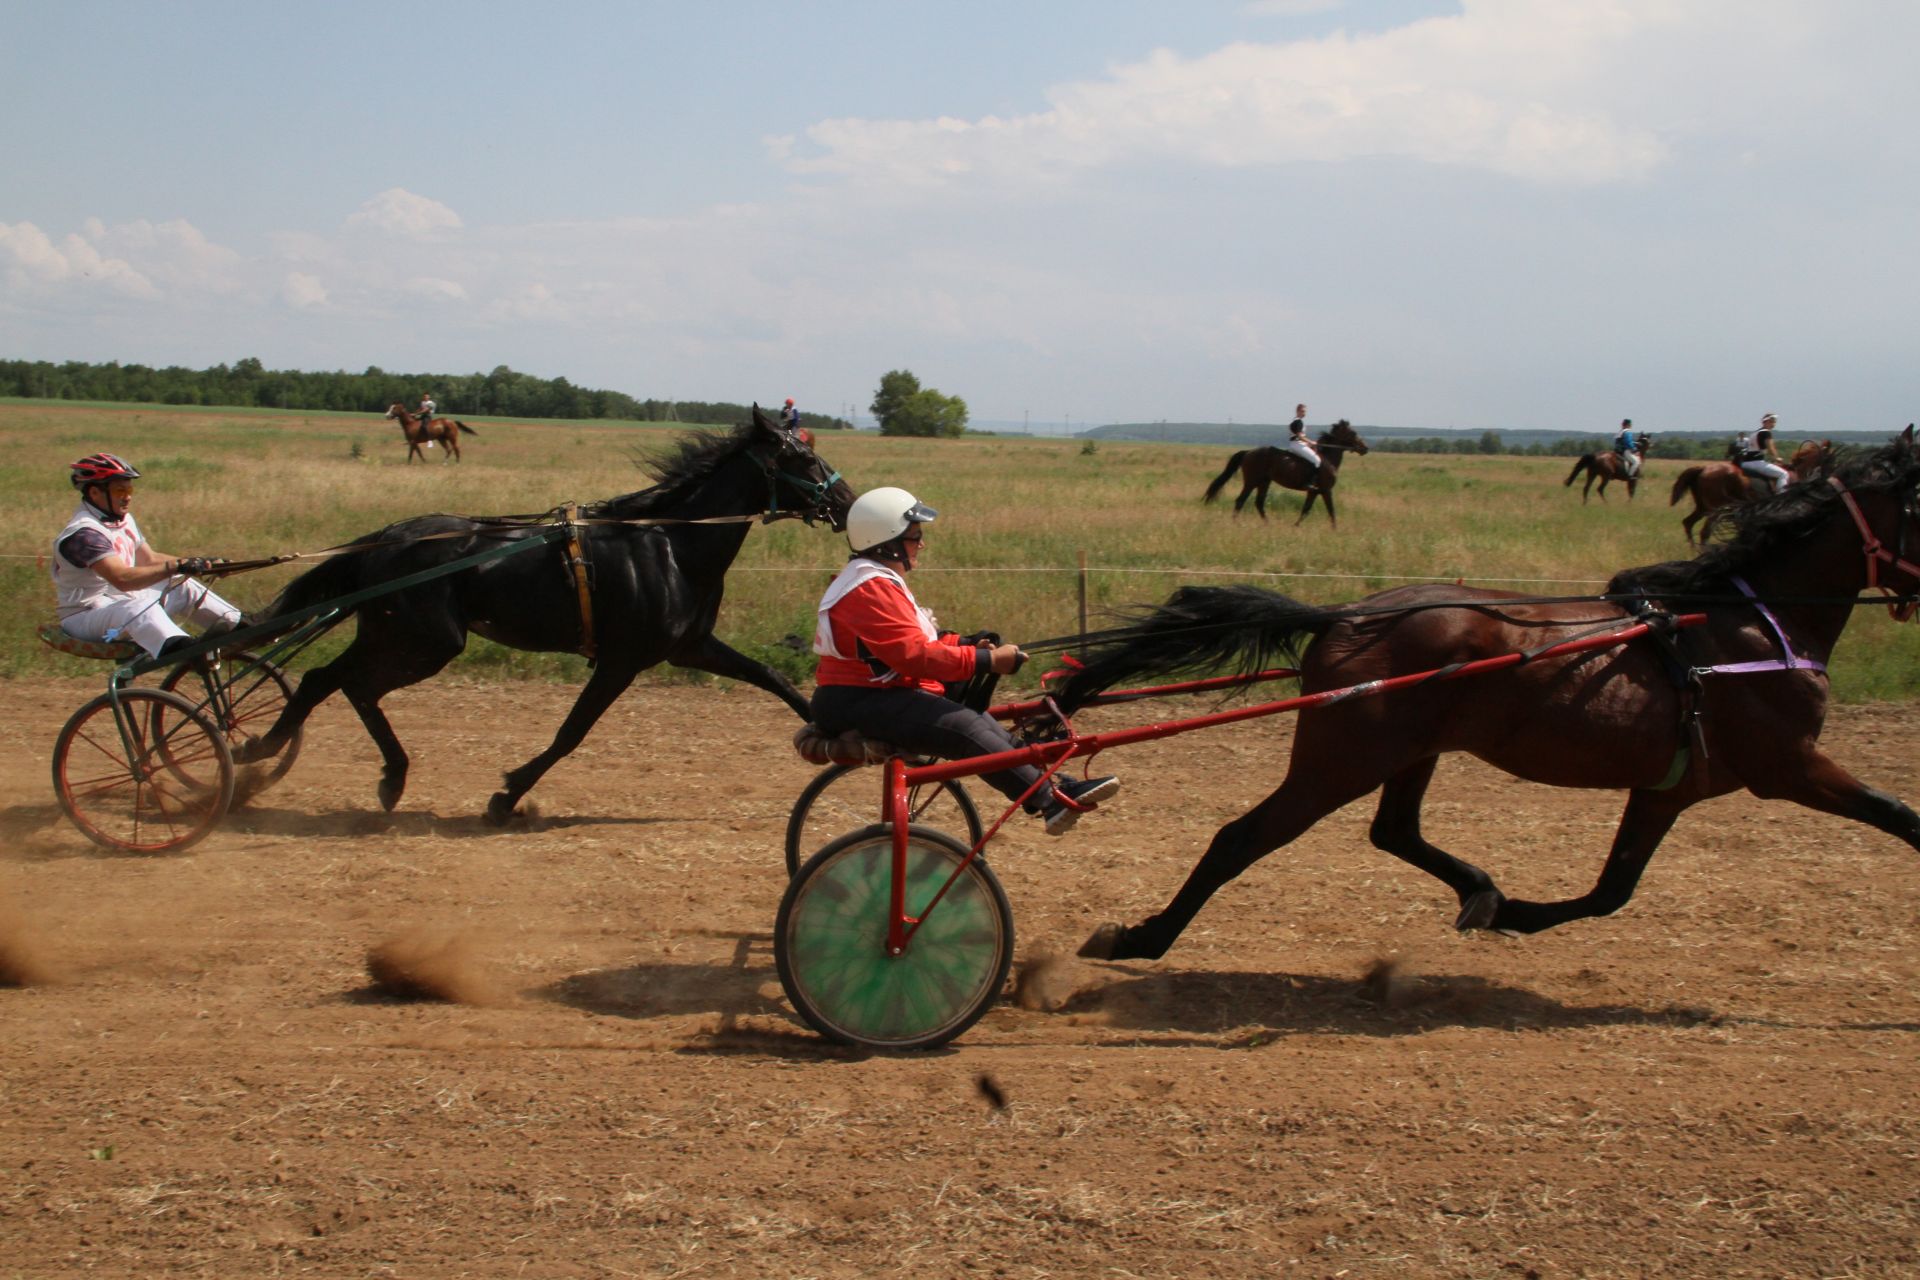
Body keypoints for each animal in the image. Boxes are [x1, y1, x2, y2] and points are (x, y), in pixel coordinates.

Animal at [238, 404, 848, 821]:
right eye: (802, 456)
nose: (846, 501)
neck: (671, 546)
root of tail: (388, 536)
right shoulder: (621, 661)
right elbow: (570, 733)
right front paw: (507, 796)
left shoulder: (690, 647)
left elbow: (773, 678)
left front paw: (830, 734)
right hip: (425, 642)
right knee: (344, 682)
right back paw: (325, 764)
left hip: (398, 636)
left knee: (331, 681)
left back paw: (303, 761)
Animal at [1198, 422, 1367, 529]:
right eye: (1353, 433)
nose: (1365, 448)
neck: (1328, 459)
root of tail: (1248, 452)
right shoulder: (1326, 490)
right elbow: (1331, 510)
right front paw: (1335, 529)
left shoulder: (1313, 492)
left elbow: (1306, 510)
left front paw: (1295, 526)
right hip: (1252, 482)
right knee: (1241, 500)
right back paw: (1237, 524)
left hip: (1264, 482)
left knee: (1259, 503)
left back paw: (1268, 525)